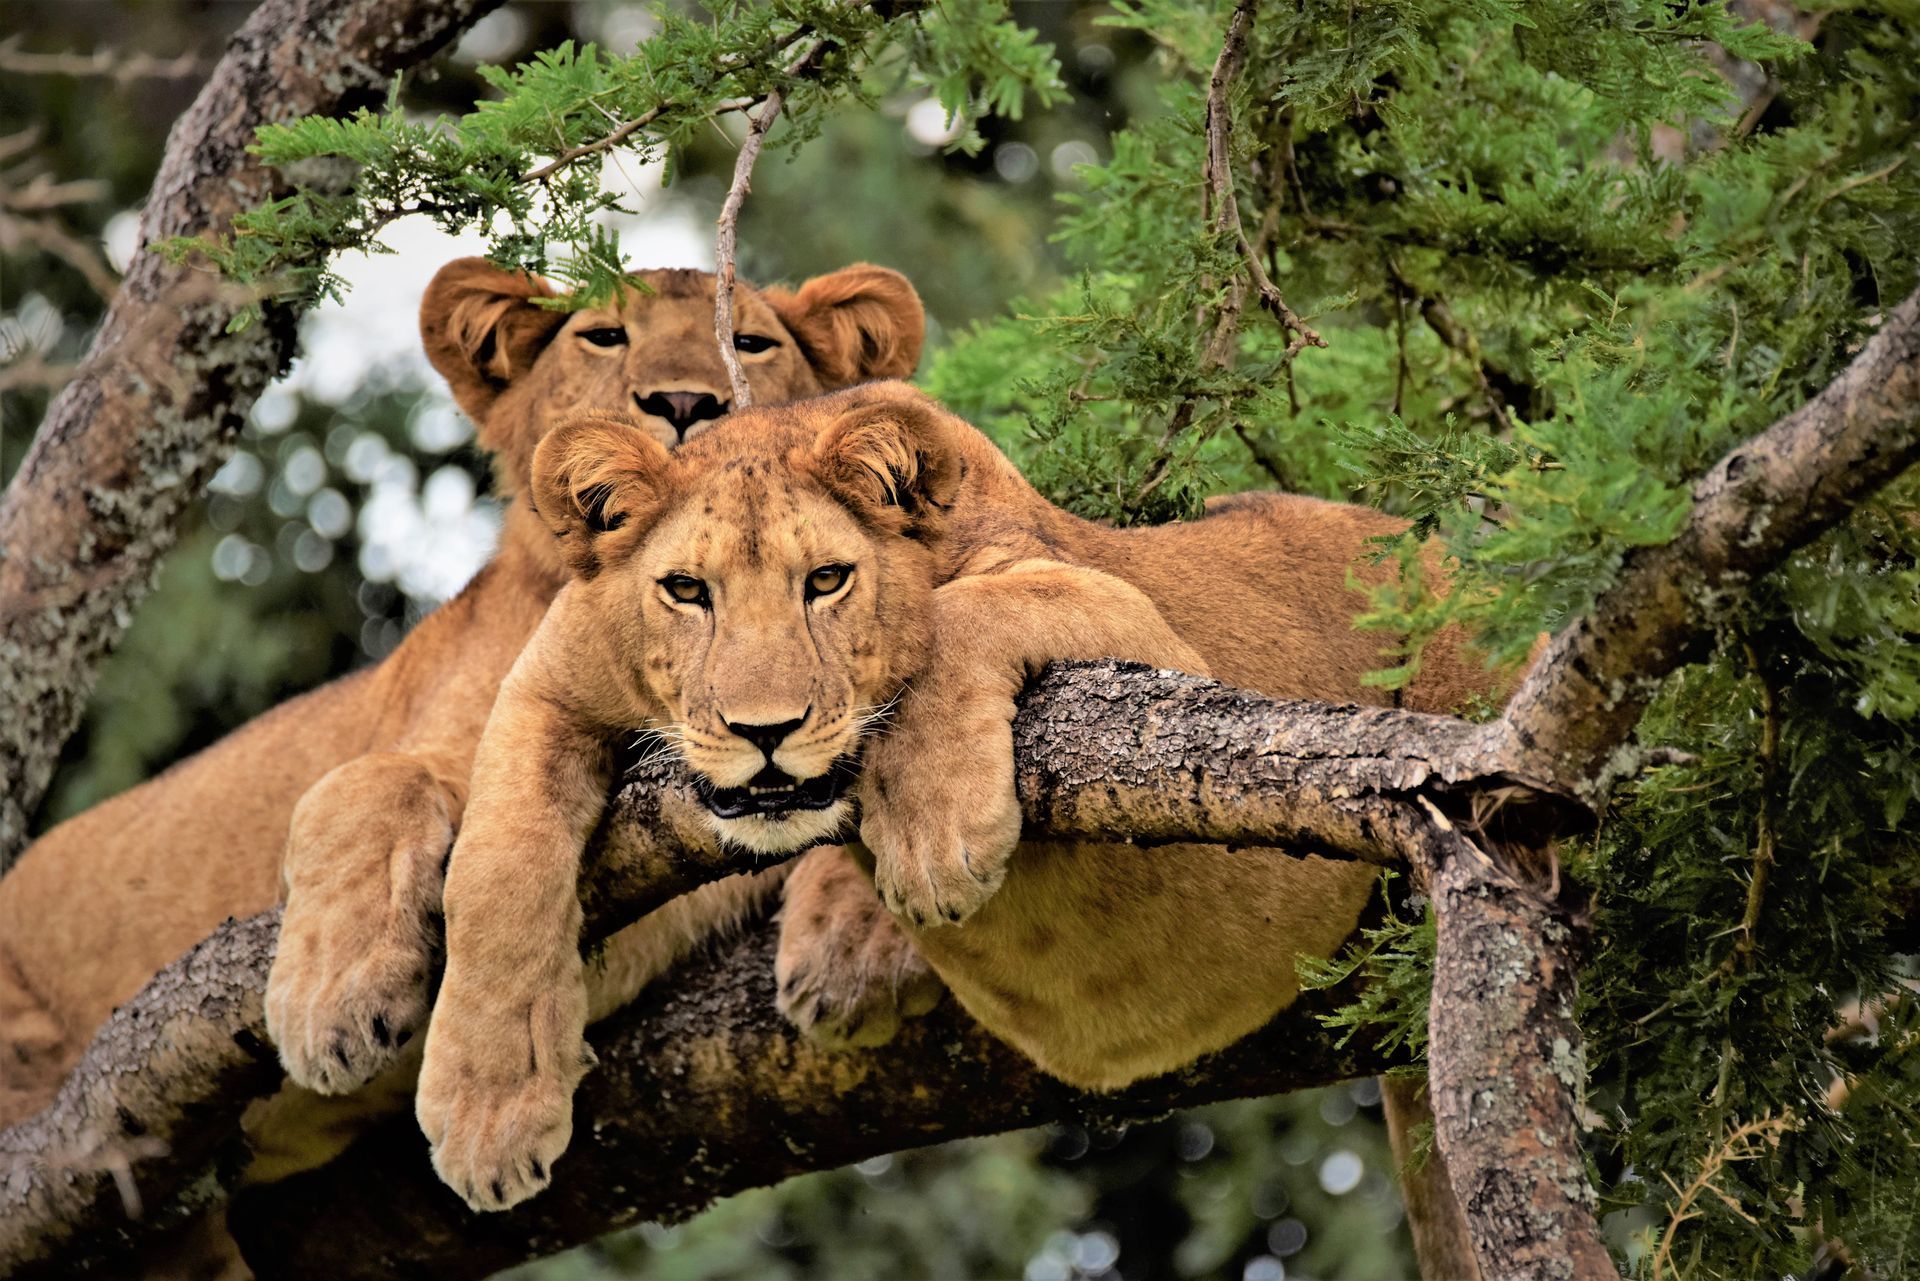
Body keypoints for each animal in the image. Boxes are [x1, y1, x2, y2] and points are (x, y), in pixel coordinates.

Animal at [0, 258, 924, 1141]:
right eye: (604, 335)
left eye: (752, 343)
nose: (688, 401)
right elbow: (374, 783)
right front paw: (332, 999)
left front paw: (859, 940)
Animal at [408, 381, 1504, 1275]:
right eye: (686, 590)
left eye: (827, 580)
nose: (765, 731)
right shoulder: (548, 683)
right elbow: (494, 870)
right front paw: (486, 1113)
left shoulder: (1160, 647)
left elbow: (961, 618)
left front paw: (930, 838)